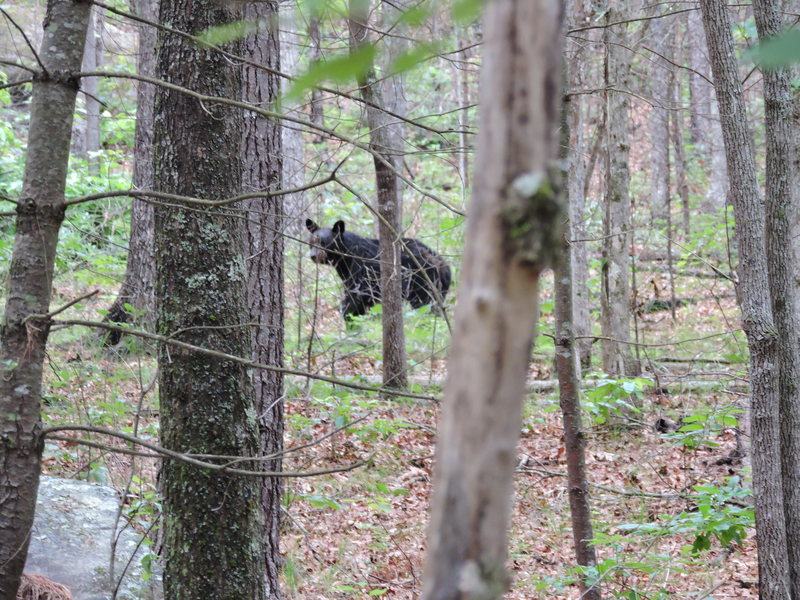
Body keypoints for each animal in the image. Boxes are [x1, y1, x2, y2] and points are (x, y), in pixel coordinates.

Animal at [306, 218, 450, 322]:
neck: (345, 257)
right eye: (311, 242)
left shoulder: (362, 265)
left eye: (323, 242)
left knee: (425, 304)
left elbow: (358, 293)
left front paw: (350, 316)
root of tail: (443, 265)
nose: (313, 256)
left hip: (422, 280)